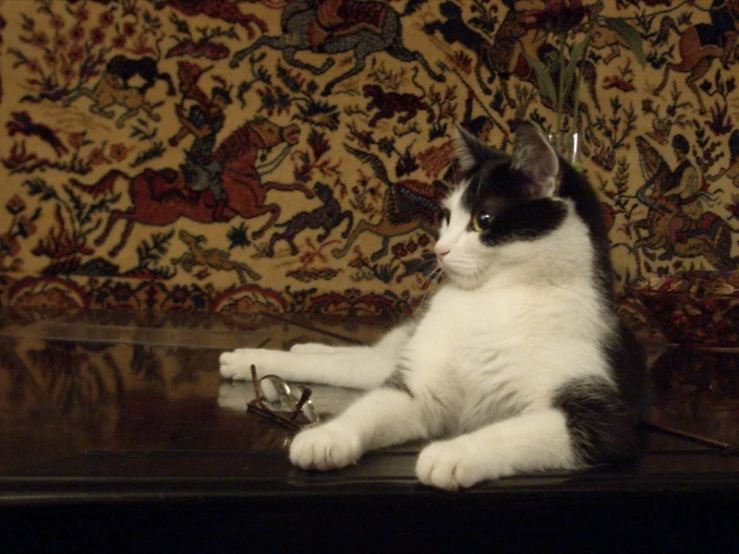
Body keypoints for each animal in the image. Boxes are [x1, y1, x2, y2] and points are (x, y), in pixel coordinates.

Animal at [220, 123, 648, 490]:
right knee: (351, 361)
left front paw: (453, 454)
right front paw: (327, 435)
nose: (439, 249)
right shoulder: (418, 387)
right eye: (446, 217)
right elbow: (369, 409)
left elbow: (512, 430)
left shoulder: (604, 419)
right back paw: (253, 358)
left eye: (483, 220)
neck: (489, 300)